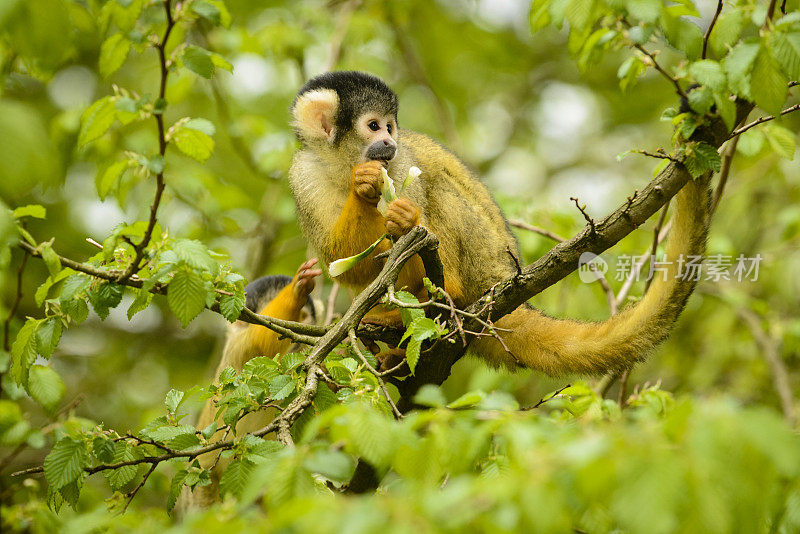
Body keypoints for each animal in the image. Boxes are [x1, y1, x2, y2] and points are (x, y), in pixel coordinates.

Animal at [180, 262, 320, 512]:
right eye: (297, 317)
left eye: (305, 318)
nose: (300, 331)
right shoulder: (241, 349)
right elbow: (263, 337)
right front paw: (296, 293)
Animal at [288, 71, 712, 376]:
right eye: (374, 126)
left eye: (391, 127)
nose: (390, 143)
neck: (342, 164)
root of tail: (506, 276)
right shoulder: (303, 175)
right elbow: (344, 263)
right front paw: (363, 189)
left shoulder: (402, 162)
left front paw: (401, 216)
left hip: (483, 260)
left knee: (440, 192)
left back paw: (444, 295)